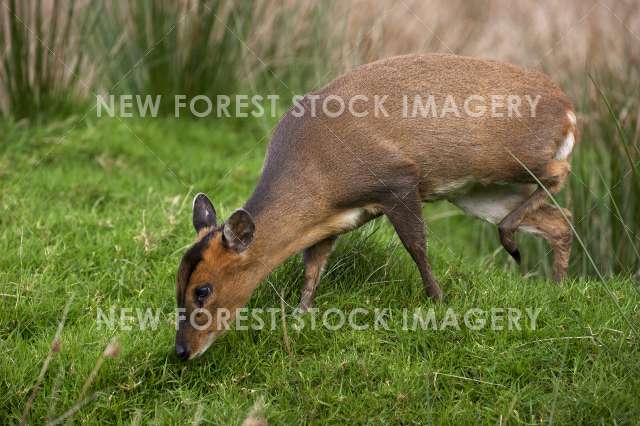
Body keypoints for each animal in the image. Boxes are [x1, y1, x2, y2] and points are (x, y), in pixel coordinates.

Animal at [174, 53, 576, 360]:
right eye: (176, 281)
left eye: (203, 290)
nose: (181, 351)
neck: (320, 180)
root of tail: (569, 109)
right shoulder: (330, 223)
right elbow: (312, 267)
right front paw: (301, 316)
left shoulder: (398, 179)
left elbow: (416, 246)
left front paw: (439, 301)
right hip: (475, 190)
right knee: (561, 219)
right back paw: (556, 289)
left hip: (512, 158)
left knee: (560, 175)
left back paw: (512, 242)